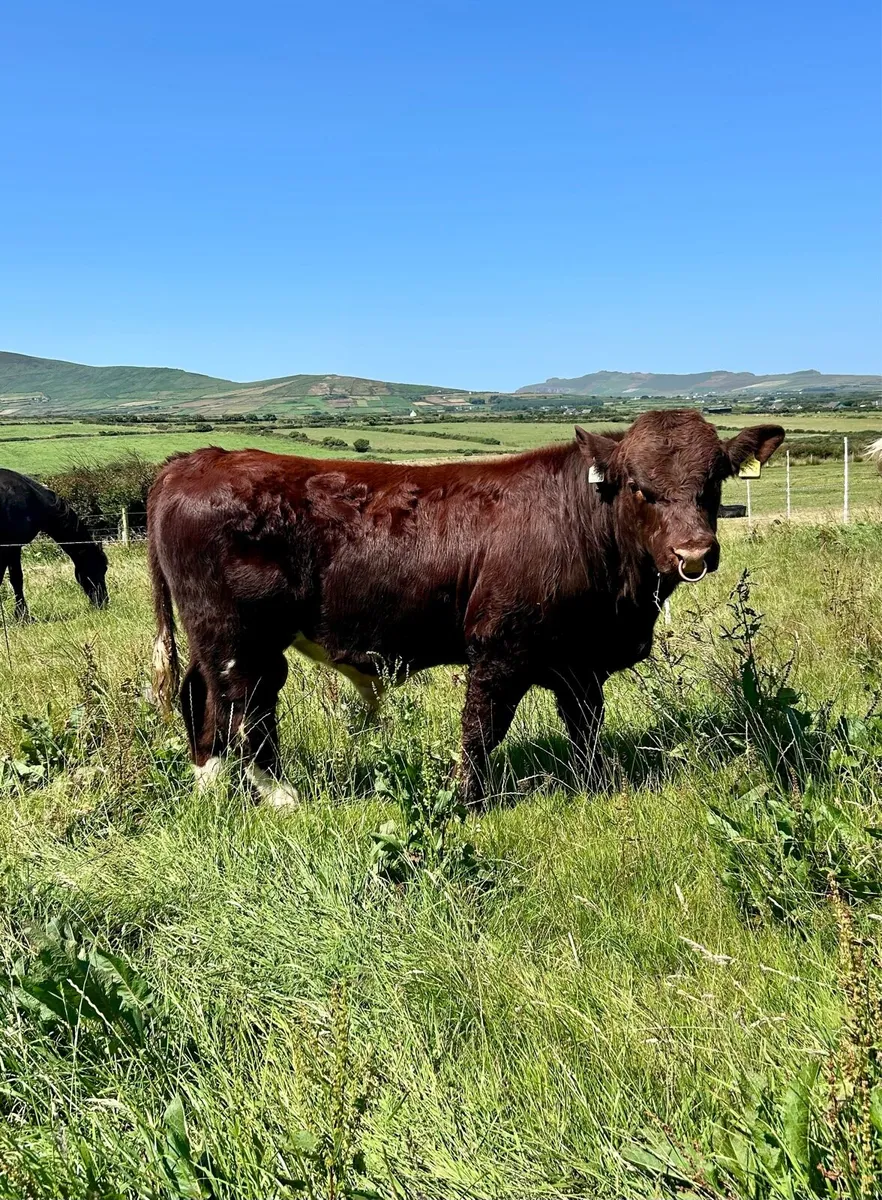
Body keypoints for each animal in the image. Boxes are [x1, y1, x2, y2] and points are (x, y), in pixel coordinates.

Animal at [0, 468, 109, 620]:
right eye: (100, 568)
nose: (103, 601)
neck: (33, 499)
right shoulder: (12, 547)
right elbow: (16, 579)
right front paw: (22, 616)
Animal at [147, 409, 784, 808]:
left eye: (714, 481)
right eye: (638, 486)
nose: (694, 552)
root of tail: (196, 459)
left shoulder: (580, 662)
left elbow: (585, 726)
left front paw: (594, 785)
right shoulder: (499, 648)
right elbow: (481, 729)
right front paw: (465, 801)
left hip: (221, 638)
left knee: (201, 696)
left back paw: (212, 786)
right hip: (238, 638)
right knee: (241, 706)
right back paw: (278, 796)